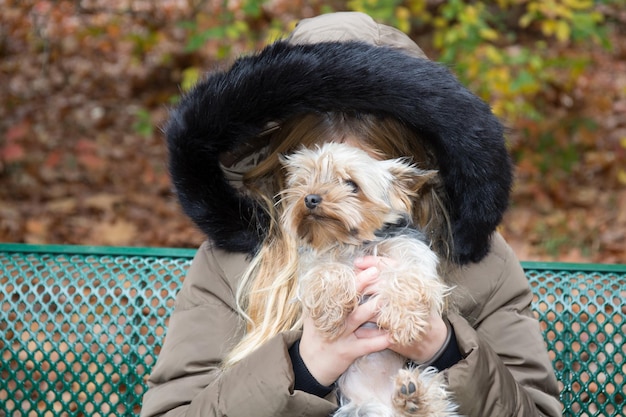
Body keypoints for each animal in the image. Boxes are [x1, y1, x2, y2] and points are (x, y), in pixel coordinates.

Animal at [278, 143, 458, 416]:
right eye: (306, 180)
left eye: (352, 185)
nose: (310, 198)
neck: (353, 243)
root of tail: (385, 406)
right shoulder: (313, 266)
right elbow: (328, 271)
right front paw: (330, 310)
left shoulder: (414, 255)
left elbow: (406, 277)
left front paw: (405, 321)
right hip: (356, 409)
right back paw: (409, 399)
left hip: (427, 379)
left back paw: (413, 397)